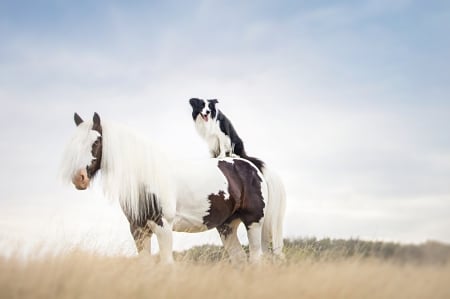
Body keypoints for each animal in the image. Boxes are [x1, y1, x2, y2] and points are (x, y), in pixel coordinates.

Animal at [59, 113, 282, 264]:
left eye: (96, 142)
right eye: (75, 143)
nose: (79, 178)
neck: (146, 176)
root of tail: (248, 164)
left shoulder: (163, 226)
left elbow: (166, 264)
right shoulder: (138, 229)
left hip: (253, 222)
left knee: (255, 260)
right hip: (227, 227)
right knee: (239, 260)